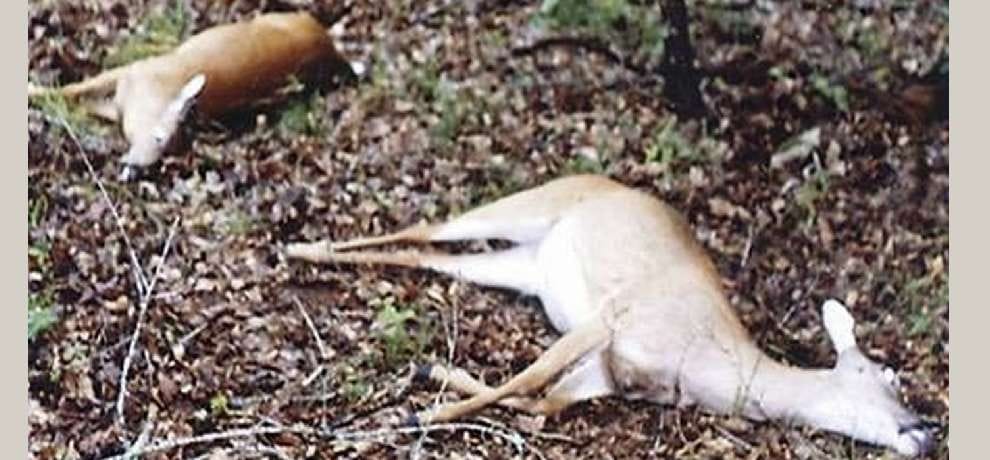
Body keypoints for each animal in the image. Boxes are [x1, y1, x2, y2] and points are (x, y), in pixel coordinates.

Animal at [28, 11, 353, 181]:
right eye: (161, 137)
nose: (139, 168)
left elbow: (74, 95)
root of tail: (328, 45)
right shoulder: (129, 79)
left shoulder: (128, 83)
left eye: (170, 150)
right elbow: (73, 92)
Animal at [284, 174, 937, 456]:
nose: (927, 434)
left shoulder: (608, 373)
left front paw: (427, 379)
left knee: (429, 257)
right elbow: (522, 382)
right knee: (430, 227)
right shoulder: (611, 320)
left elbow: (538, 402)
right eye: (886, 376)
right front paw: (417, 414)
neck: (703, 360)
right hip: (526, 206)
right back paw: (300, 247)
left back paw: (305, 251)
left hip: (524, 267)